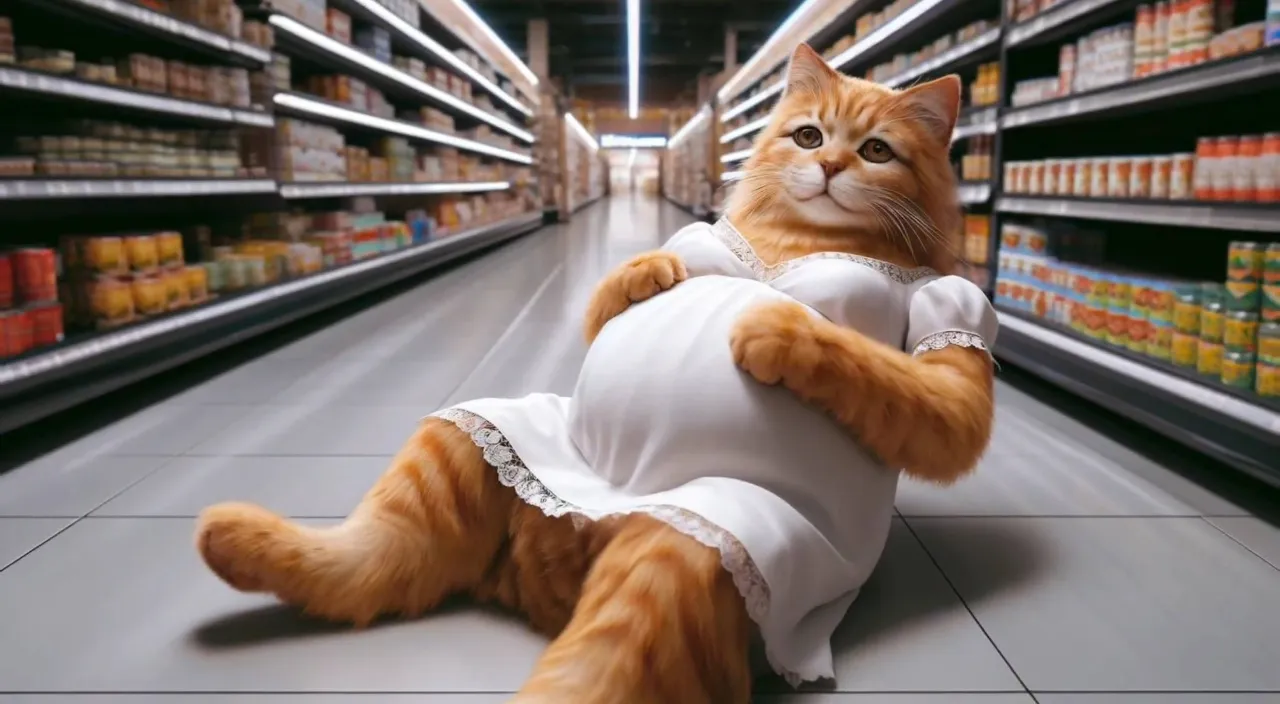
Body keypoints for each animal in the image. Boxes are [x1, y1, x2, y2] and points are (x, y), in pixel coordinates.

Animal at [194, 41, 988, 701]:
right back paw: (236, 539)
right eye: (809, 136)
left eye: (877, 150)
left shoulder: (948, 333)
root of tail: (547, 566)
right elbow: (620, 297)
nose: (827, 169)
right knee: (383, 559)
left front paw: (772, 321)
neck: (800, 235)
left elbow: (899, 381)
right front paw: (653, 269)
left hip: (695, 548)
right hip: (475, 435)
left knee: (597, 658)